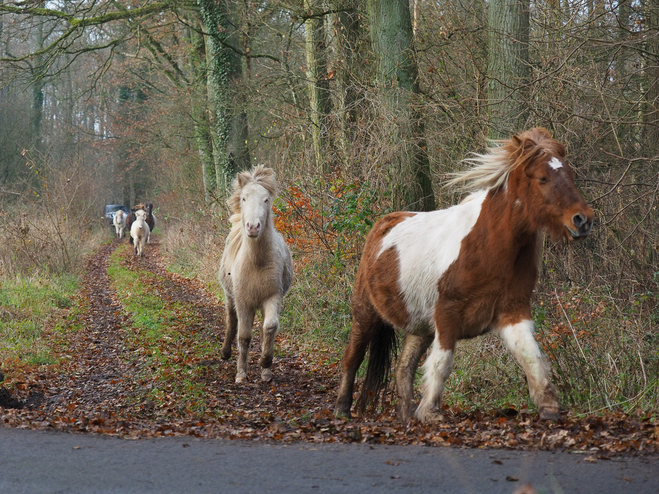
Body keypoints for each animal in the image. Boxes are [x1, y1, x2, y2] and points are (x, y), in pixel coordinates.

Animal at [220, 164, 292, 384]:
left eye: (266, 199)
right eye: (244, 198)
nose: (253, 227)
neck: (257, 262)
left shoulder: (272, 297)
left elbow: (269, 327)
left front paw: (265, 367)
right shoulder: (243, 301)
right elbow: (244, 336)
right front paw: (241, 374)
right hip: (230, 297)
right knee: (231, 320)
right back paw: (225, 352)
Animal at [336, 126, 592, 420]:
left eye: (570, 174)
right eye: (543, 178)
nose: (583, 220)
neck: (490, 245)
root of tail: (382, 225)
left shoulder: (514, 310)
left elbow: (530, 355)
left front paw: (549, 407)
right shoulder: (447, 314)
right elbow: (442, 363)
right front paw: (431, 412)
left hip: (420, 326)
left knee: (403, 368)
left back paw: (405, 418)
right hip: (365, 311)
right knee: (352, 357)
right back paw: (342, 409)